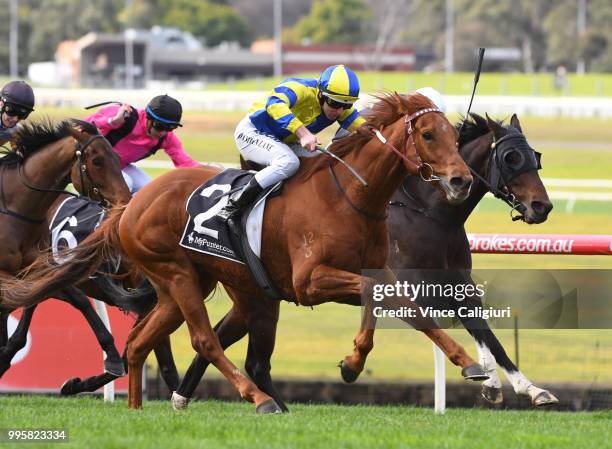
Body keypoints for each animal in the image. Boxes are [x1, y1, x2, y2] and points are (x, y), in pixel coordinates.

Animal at [0, 118, 131, 374]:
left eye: (118, 157)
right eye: (97, 161)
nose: (126, 200)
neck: (15, 209)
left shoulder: (38, 269)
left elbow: (77, 296)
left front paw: (111, 355)